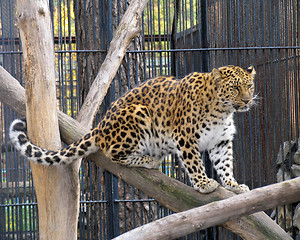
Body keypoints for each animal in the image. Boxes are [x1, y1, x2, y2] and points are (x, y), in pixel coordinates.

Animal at [9, 64, 255, 194]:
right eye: (234, 88)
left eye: (249, 86)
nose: (247, 100)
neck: (222, 111)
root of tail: (100, 126)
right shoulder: (185, 137)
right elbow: (194, 162)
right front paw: (204, 183)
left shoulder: (220, 141)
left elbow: (225, 164)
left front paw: (233, 185)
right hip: (137, 115)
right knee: (114, 154)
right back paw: (148, 160)